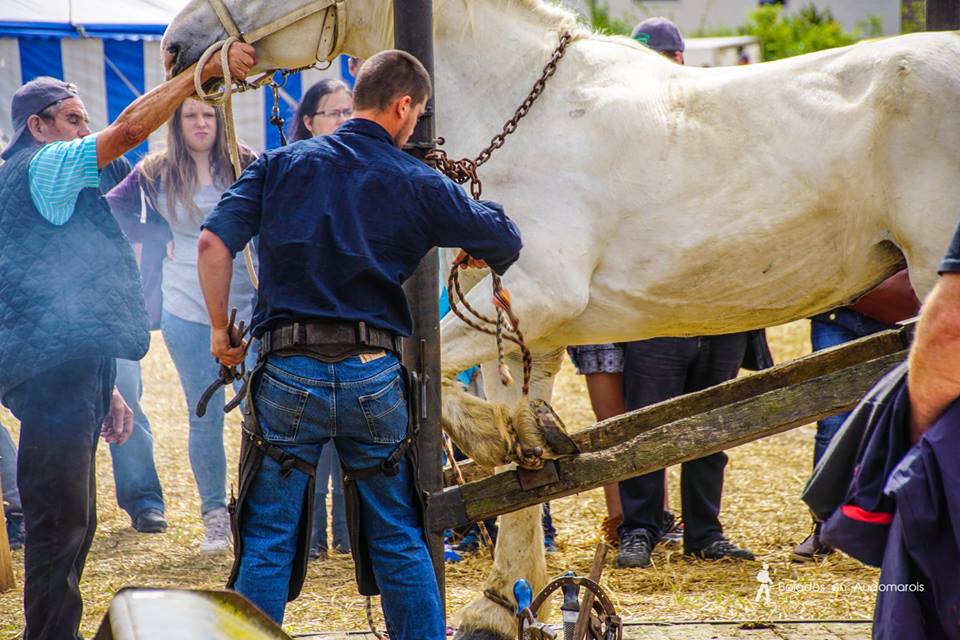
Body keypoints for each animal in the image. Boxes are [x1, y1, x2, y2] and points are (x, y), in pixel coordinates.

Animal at [163, 2, 960, 636]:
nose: (174, 48)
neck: (521, 104)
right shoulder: (522, 328)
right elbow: (514, 458)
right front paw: (502, 592)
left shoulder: (541, 293)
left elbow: (427, 374)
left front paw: (505, 447)